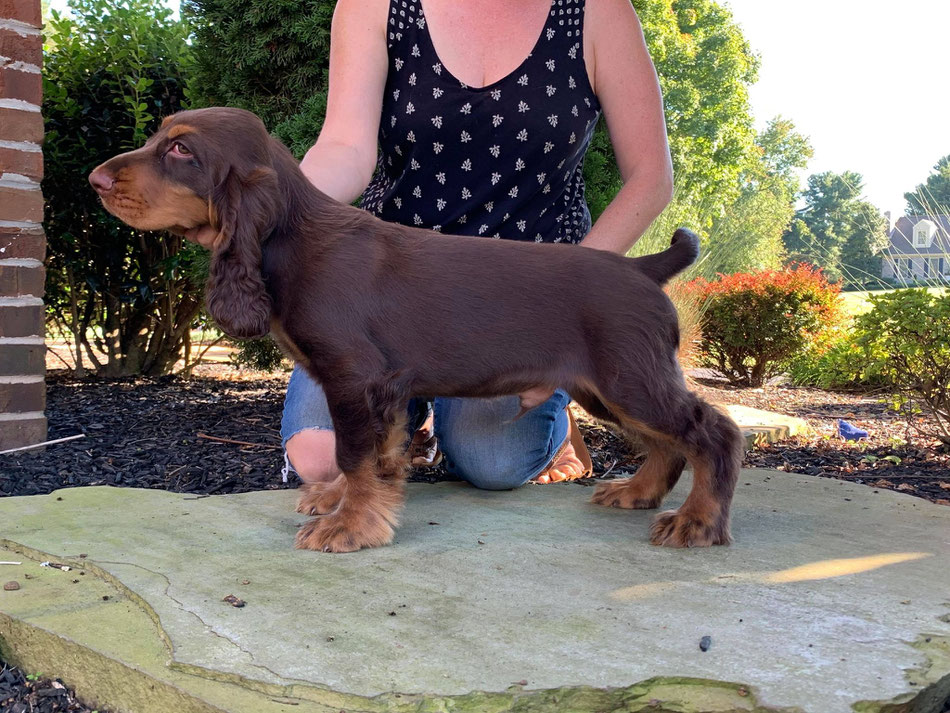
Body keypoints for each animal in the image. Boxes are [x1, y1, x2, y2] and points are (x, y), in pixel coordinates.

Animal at [91, 107, 744, 552]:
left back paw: (697, 521)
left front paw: (350, 526)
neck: (292, 238)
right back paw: (636, 493)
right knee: (668, 441)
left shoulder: (355, 377)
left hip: (627, 375)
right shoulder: (376, 389)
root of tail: (643, 267)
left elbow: (356, 453)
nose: (95, 179)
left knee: (712, 431)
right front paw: (341, 501)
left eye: (180, 150)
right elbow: (373, 454)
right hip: (604, 388)